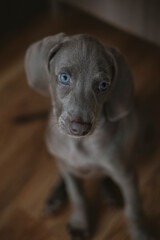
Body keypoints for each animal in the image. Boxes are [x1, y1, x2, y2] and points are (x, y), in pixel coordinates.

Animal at [25, 33, 154, 240]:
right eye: (64, 77)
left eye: (103, 85)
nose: (79, 128)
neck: (79, 144)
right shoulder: (66, 165)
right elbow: (77, 195)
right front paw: (80, 222)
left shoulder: (126, 174)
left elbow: (134, 208)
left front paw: (141, 232)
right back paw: (55, 197)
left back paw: (110, 192)